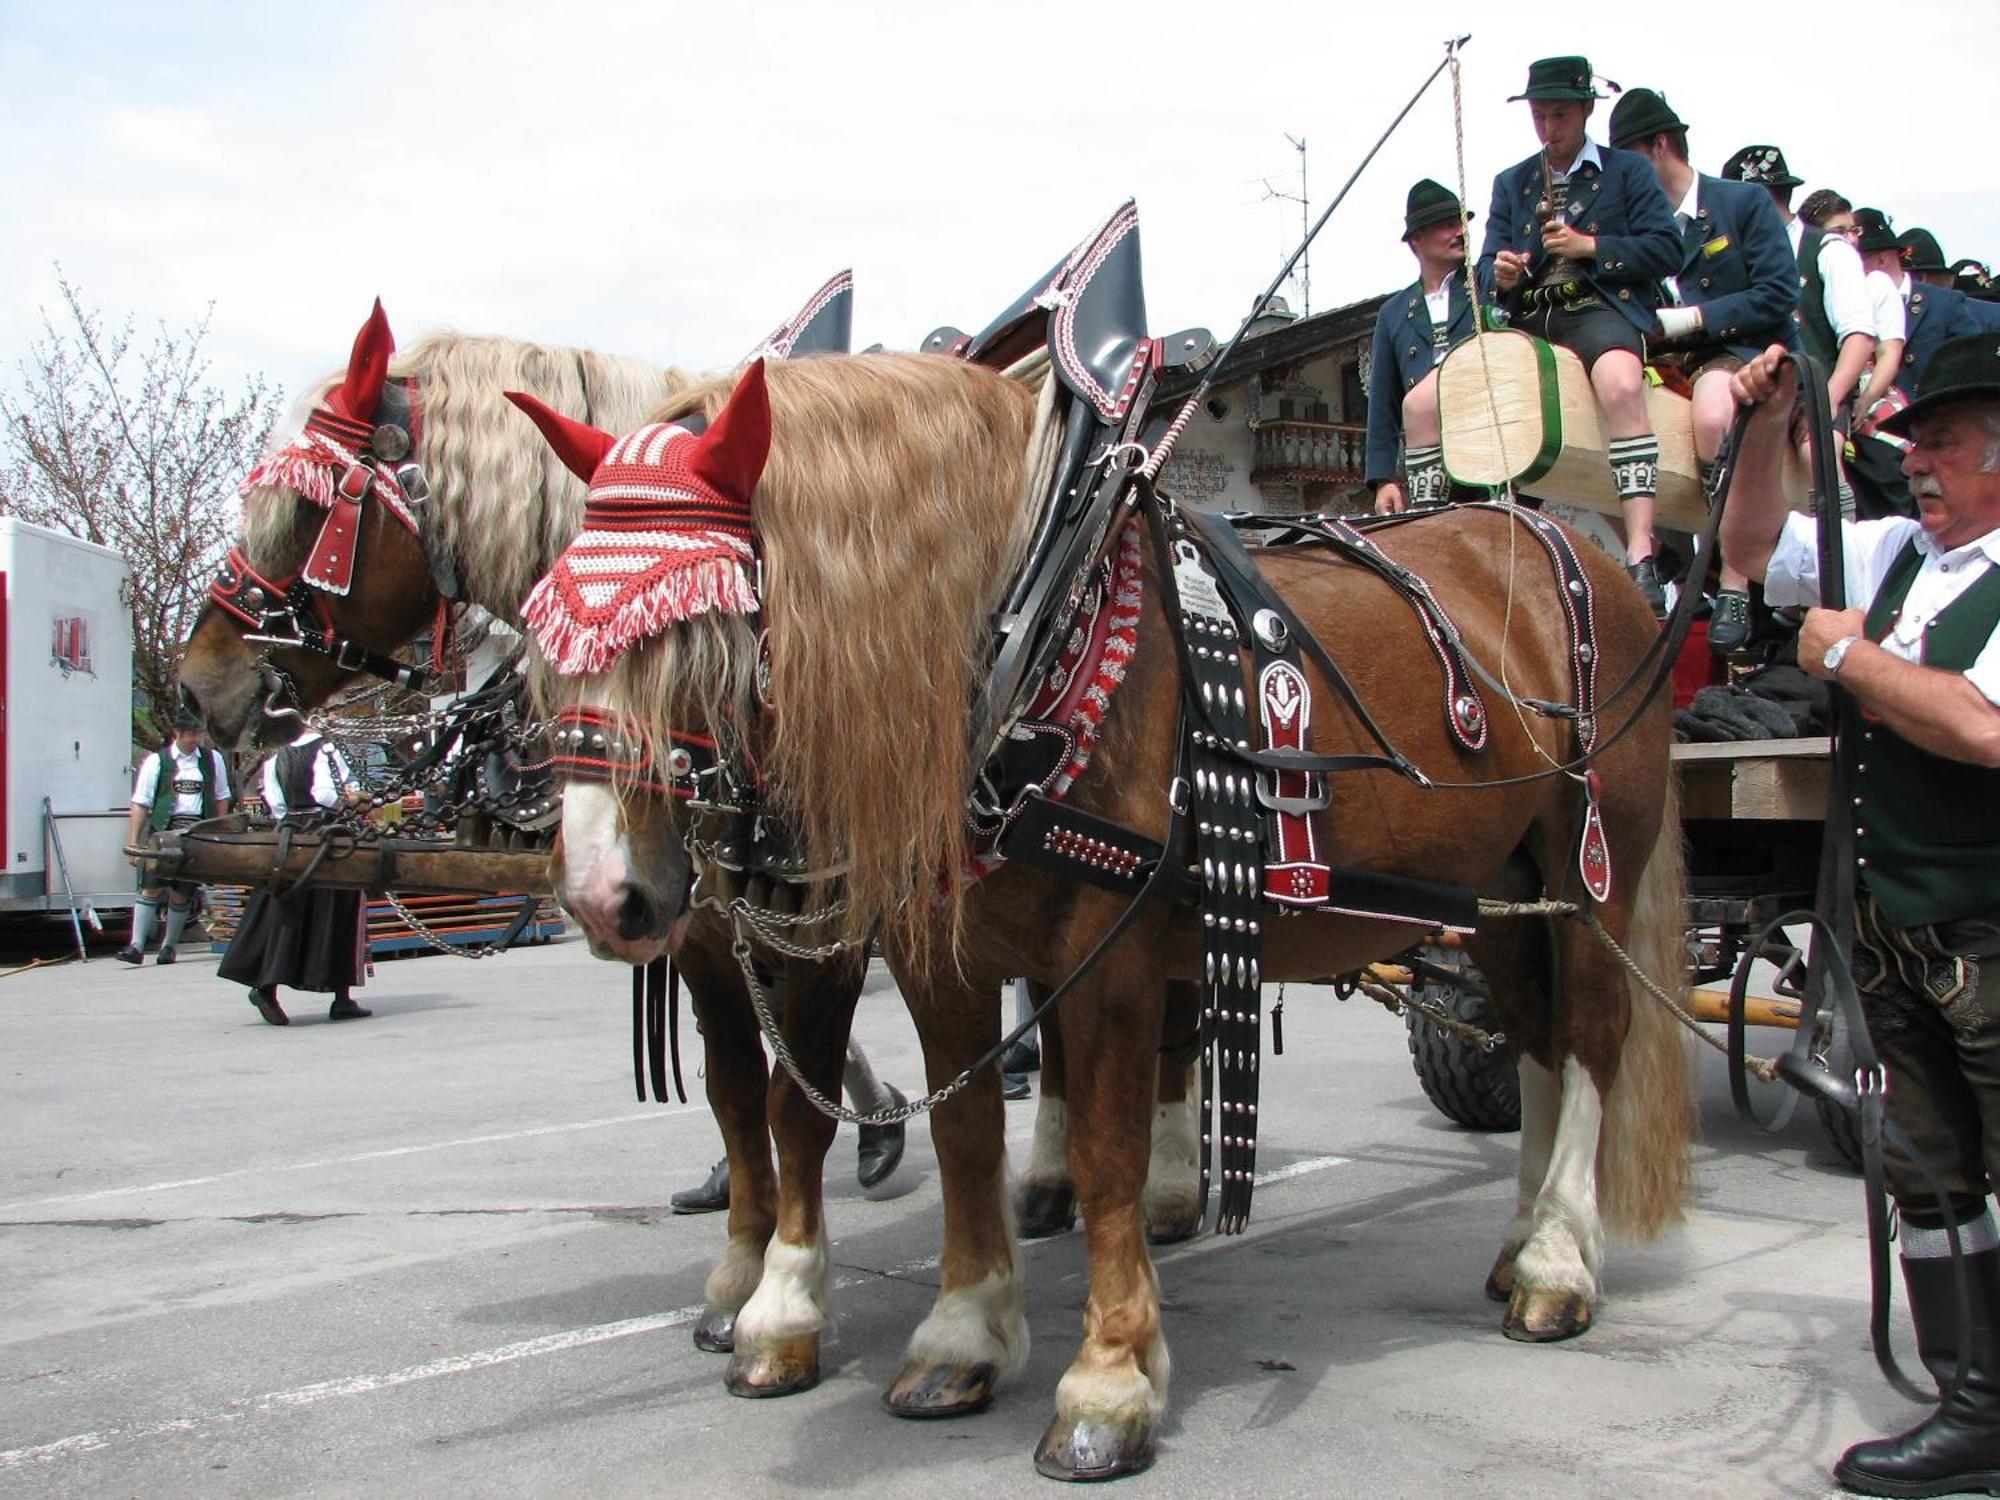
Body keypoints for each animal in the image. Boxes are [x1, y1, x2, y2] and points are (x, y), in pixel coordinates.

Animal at [540, 356, 1696, 1496]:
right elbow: (963, 1135)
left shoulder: (1110, 952)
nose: (604, 896)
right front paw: (961, 1335)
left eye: (696, 627)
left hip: (1588, 880)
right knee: (1538, 1044)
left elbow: (1105, 1155)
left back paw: (1558, 1265)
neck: (1029, 634)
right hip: (1504, 894)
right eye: (557, 634)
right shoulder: (935, 960)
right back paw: (1525, 1239)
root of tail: (1584, 559)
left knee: (1591, 1044)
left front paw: (1107, 1384)